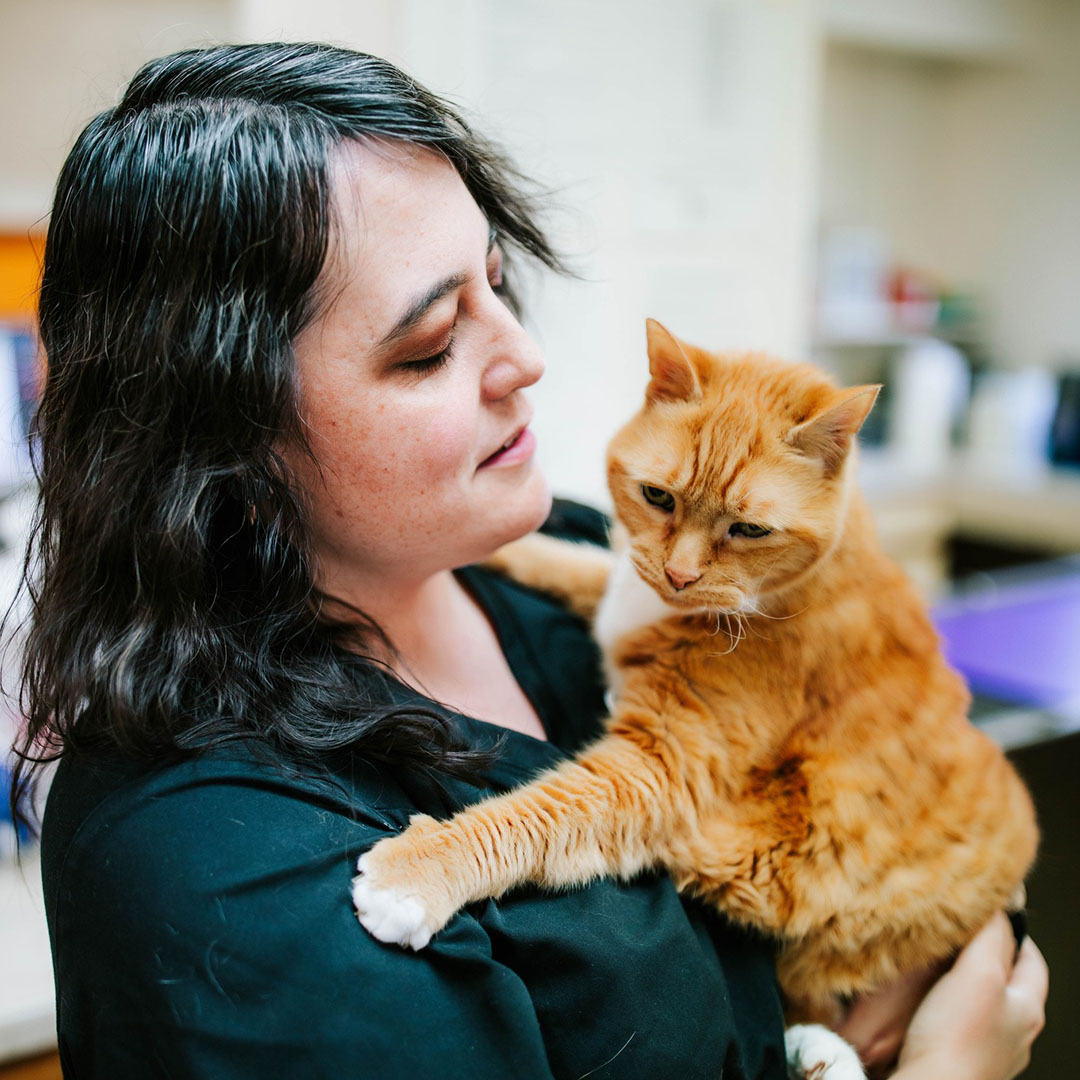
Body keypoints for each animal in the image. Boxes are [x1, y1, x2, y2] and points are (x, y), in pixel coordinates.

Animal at [354, 317, 1036, 1071]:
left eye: (749, 529)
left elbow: (538, 814)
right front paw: (502, 548)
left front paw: (419, 875)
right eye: (658, 497)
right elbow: (574, 561)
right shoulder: (618, 583)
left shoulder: (662, 770)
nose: (680, 577)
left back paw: (822, 1055)